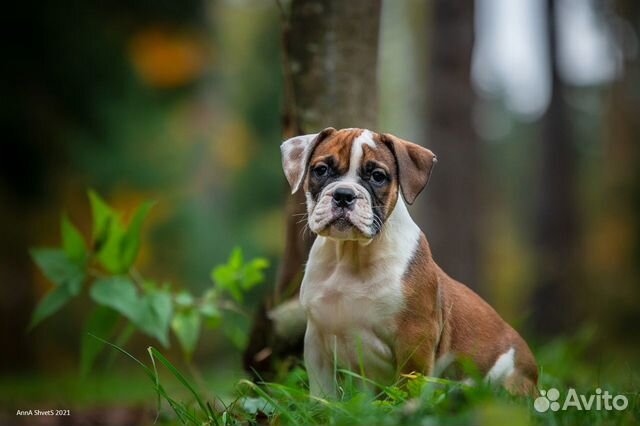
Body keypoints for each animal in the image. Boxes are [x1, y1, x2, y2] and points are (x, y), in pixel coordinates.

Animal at [280, 126, 536, 396]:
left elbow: (408, 386)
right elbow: (322, 393)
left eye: (378, 176)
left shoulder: (415, 340)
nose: (344, 194)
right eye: (321, 170)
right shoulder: (317, 341)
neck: (351, 253)